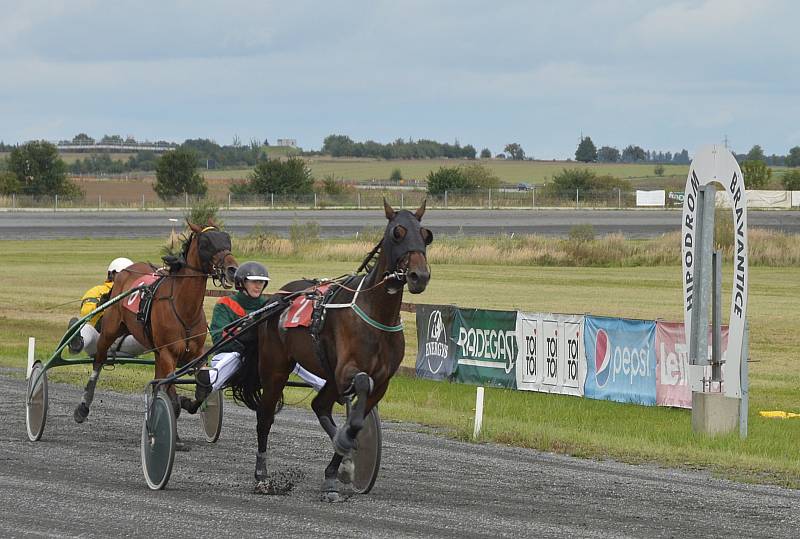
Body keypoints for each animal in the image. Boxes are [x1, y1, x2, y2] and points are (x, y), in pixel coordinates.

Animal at [72, 221, 238, 424]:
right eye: (206, 243)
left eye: (227, 239)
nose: (232, 269)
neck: (184, 308)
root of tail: (128, 271)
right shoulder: (168, 354)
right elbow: (172, 397)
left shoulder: (197, 353)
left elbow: (203, 388)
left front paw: (187, 401)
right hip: (110, 330)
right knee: (98, 361)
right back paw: (83, 406)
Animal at [255, 200, 432, 500]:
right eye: (397, 233)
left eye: (426, 235)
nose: (419, 276)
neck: (378, 314)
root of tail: (279, 297)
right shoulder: (346, 369)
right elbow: (361, 386)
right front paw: (345, 453)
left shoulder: (381, 382)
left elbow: (356, 423)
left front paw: (338, 471)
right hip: (276, 369)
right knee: (265, 417)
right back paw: (261, 475)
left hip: (327, 375)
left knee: (319, 405)